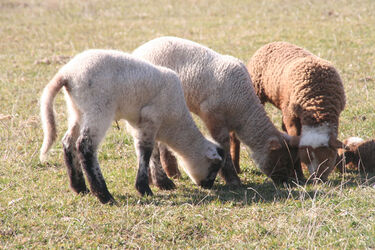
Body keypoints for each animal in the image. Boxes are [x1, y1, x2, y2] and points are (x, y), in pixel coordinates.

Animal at [39, 47, 225, 204]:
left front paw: (161, 182)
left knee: (68, 142)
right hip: (98, 108)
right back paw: (104, 195)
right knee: (85, 146)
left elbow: (152, 152)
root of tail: (67, 74)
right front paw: (145, 188)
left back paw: (79, 187)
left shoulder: (142, 124)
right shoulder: (151, 118)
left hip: (77, 109)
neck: (174, 124)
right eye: (214, 167)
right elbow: (146, 151)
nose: (208, 186)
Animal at [134, 37, 302, 186]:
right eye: (283, 160)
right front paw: (232, 179)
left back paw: (171, 173)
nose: (287, 182)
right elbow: (223, 145)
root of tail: (139, 49)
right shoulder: (212, 116)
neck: (244, 106)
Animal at [232, 41, 346, 182]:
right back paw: (236, 167)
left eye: (327, 158)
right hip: (257, 91)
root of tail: (273, 43)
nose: (317, 179)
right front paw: (299, 174)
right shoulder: (291, 116)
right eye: (308, 157)